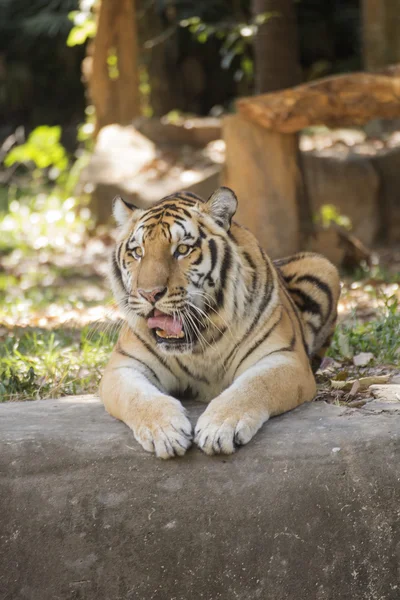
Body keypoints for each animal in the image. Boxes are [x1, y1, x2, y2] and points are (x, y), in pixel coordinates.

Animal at [98, 188, 340, 460]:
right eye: (138, 253)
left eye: (182, 249)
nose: (149, 294)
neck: (200, 342)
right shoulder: (123, 366)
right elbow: (139, 398)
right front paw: (166, 430)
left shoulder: (285, 358)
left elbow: (253, 387)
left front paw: (219, 428)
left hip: (322, 266)